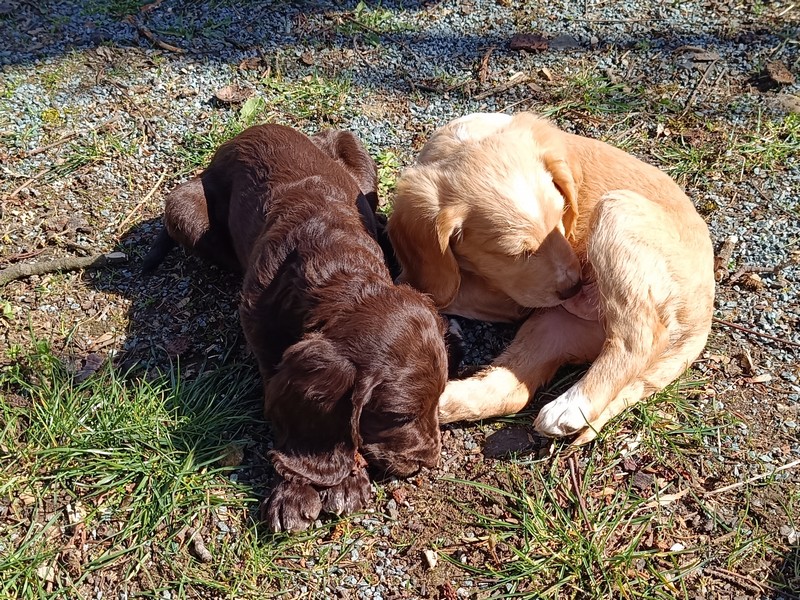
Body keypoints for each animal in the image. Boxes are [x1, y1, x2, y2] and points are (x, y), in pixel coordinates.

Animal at [144, 124, 447, 531]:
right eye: (399, 416)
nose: (429, 462)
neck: (336, 266)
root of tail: (248, 132)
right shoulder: (265, 344)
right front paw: (297, 491)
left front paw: (342, 479)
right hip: (183, 210)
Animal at [387, 112, 715, 444]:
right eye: (515, 253)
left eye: (561, 216)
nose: (574, 288)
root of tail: (703, 319)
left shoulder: (512, 300)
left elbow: (428, 288)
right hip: (557, 325)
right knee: (512, 391)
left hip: (617, 211)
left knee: (640, 337)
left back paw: (570, 407)